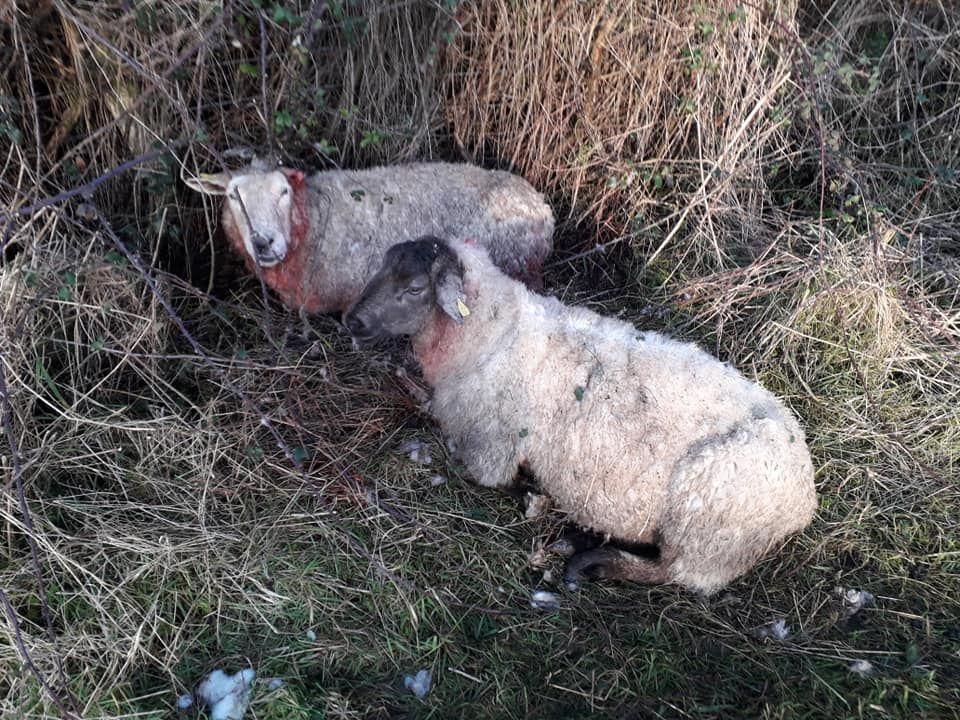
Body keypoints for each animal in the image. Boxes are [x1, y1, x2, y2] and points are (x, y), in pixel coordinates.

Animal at [344, 237, 817, 596]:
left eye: (414, 289)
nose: (352, 321)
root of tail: (804, 500)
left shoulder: (489, 448)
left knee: (675, 574)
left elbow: (483, 472)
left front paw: (533, 497)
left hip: (706, 529)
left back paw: (594, 560)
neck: (492, 334)